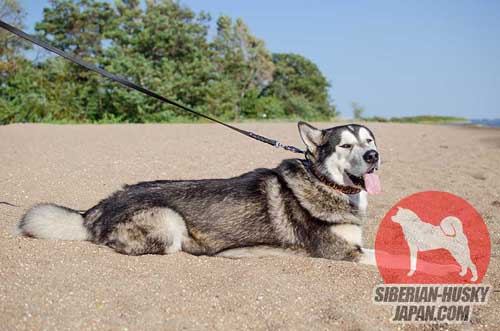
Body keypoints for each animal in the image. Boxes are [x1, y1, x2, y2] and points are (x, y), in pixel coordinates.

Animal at [17, 122, 380, 264]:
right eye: (345, 145)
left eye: (369, 140)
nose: (373, 156)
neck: (327, 184)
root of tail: (97, 208)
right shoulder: (343, 253)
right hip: (169, 222)